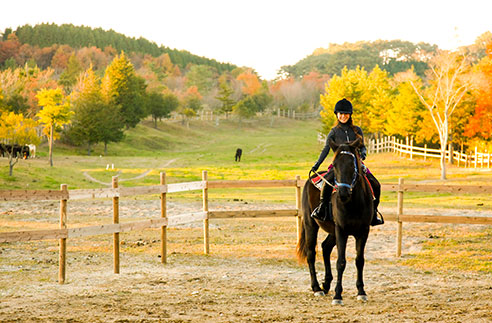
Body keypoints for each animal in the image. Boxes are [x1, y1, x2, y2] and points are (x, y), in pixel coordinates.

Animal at [296, 139, 372, 306]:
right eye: (335, 164)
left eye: (352, 164)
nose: (343, 193)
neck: (353, 203)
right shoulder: (341, 231)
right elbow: (341, 262)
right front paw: (338, 295)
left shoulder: (363, 232)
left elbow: (359, 261)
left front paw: (361, 292)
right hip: (311, 225)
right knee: (311, 253)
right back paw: (317, 288)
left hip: (332, 231)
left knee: (325, 247)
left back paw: (326, 284)